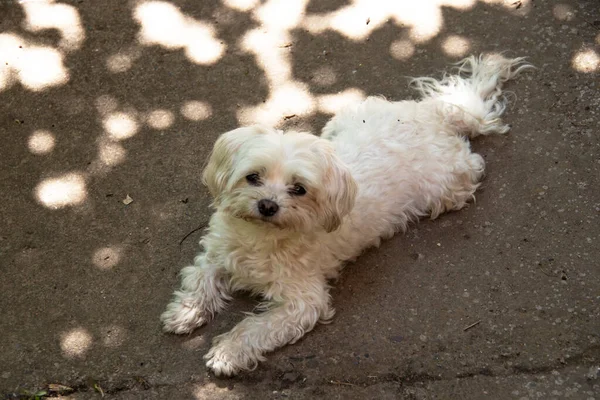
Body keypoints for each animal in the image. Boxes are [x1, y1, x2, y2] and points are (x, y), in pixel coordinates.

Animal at [162, 54, 532, 376]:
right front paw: (185, 312)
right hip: (344, 118)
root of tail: (437, 114)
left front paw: (228, 352)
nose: (267, 205)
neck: (260, 239)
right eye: (253, 177)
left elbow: (255, 327)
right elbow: (200, 280)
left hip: (450, 188)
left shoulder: (302, 302)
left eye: (298, 189)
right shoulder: (216, 255)